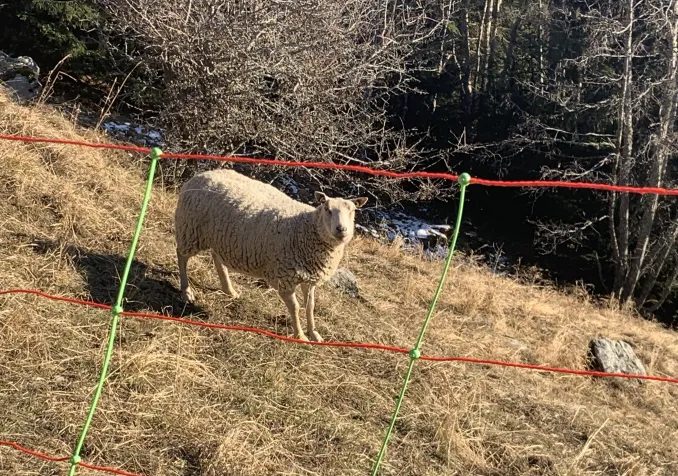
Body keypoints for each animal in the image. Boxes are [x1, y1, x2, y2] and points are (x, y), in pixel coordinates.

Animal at [174, 168, 368, 342]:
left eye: (352, 211)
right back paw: (187, 291)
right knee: (182, 256)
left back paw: (229, 290)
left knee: (217, 258)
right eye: (327, 209)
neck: (306, 227)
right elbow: (295, 307)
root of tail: (200, 175)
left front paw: (314, 334)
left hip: (219, 237)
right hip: (190, 229)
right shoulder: (284, 278)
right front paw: (300, 336)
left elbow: (310, 307)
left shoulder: (309, 277)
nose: (341, 229)